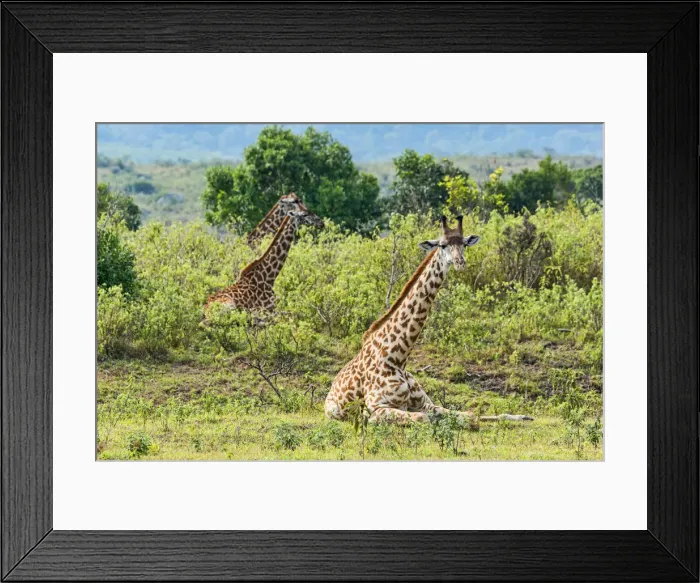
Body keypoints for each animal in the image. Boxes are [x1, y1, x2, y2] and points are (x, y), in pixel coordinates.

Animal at [325, 215, 534, 425]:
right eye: (442, 245)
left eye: (464, 244)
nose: (460, 262)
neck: (397, 357)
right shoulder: (375, 410)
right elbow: (424, 418)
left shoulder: (425, 403)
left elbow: (469, 415)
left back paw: (524, 416)